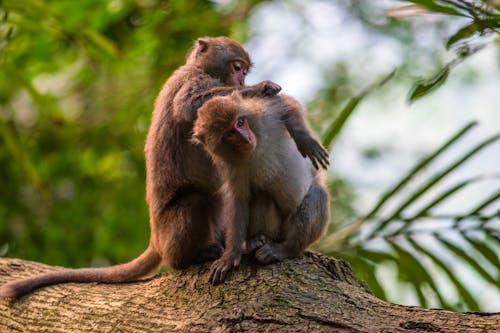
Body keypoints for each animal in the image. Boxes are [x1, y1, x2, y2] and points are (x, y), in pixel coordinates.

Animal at [0, 35, 286, 296]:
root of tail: (156, 240)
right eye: (237, 68)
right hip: (171, 235)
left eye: (244, 71)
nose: (241, 81)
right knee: (194, 202)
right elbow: (191, 106)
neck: (200, 68)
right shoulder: (194, 81)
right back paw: (194, 256)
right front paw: (259, 90)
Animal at [192, 91, 332, 282]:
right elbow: (238, 200)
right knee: (261, 196)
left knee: (318, 194)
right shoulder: (230, 167)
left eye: (240, 122)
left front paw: (305, 140)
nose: (246, 138)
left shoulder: (265, 117)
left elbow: (285, 104)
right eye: (230, 133)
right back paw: (256, 240)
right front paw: (231, 254)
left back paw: (285, 249)